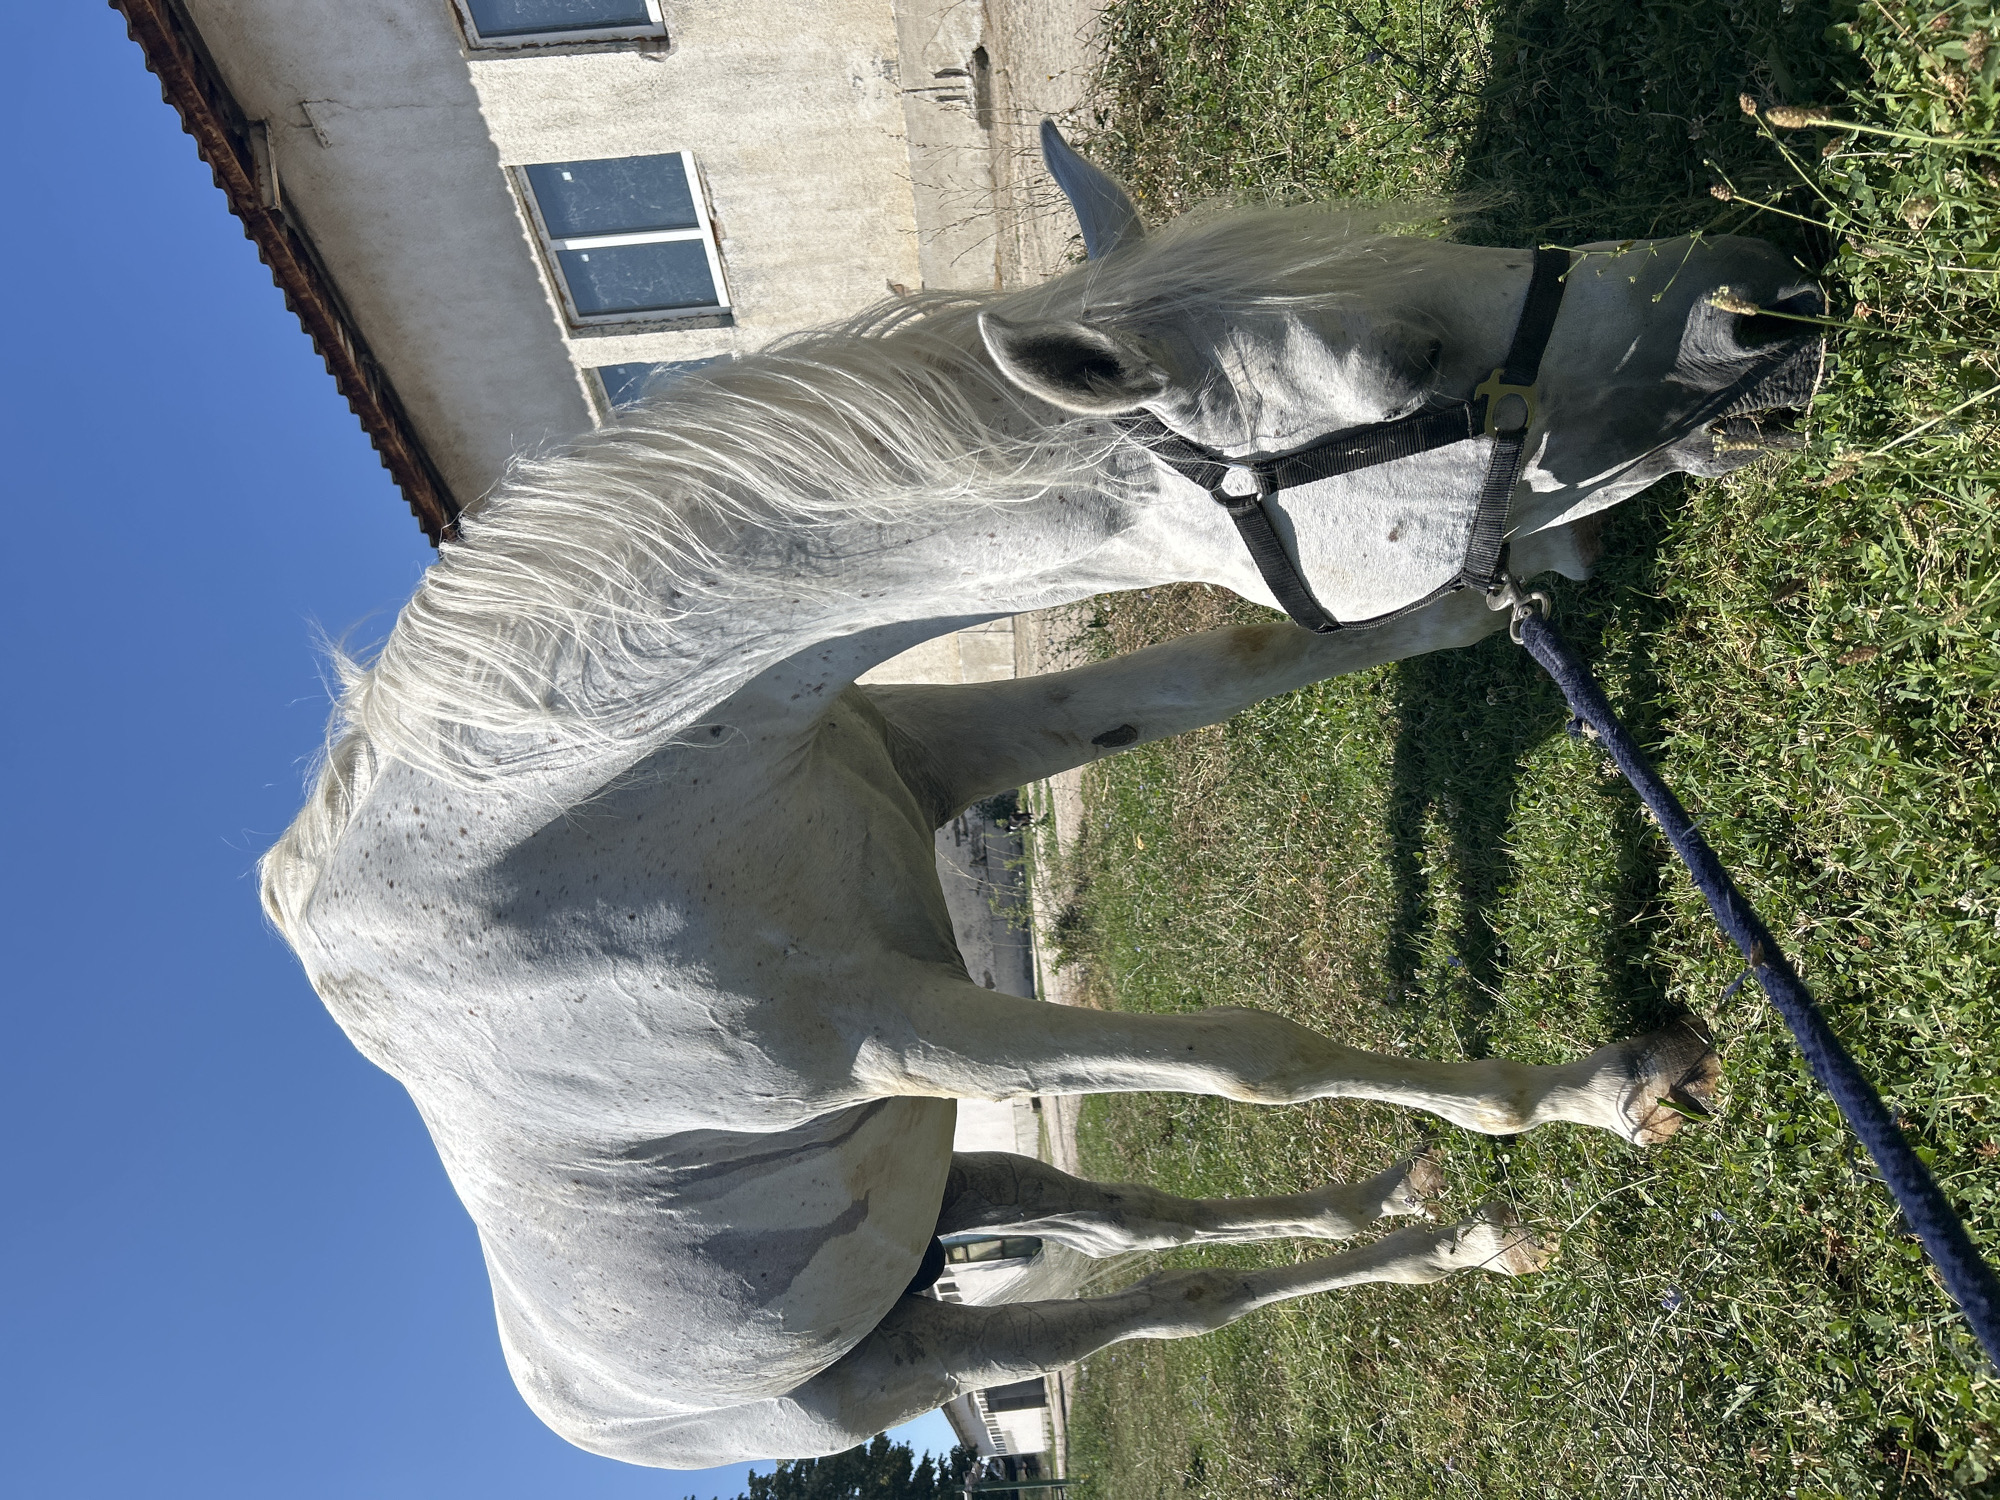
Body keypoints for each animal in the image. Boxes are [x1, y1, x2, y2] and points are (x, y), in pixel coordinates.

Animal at [262, 126, 1822, 1466]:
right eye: (1403, 358)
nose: (1768, 300)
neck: (571, 820)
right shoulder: (904, 1035)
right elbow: (1251, 1057)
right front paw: (1590, 1091)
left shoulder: (954, 757)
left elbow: (1253, 659)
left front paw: (1499, 587)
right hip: (902, 1363)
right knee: (1156, 1305)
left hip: (960, 1193)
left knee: (1133, 1227)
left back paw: (1414, 1220)